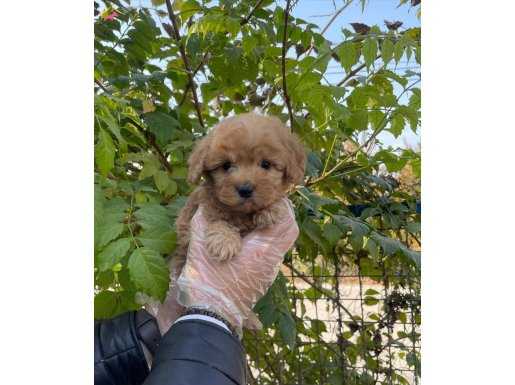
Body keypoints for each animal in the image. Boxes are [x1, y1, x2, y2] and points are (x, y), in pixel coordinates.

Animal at [175, 110, 306, 268]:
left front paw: (270, 210)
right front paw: (225, 241)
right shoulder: (191, 218)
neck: (243, 214)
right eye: (226, 165)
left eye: (266, 164)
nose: (245, 189)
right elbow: (217, 220)